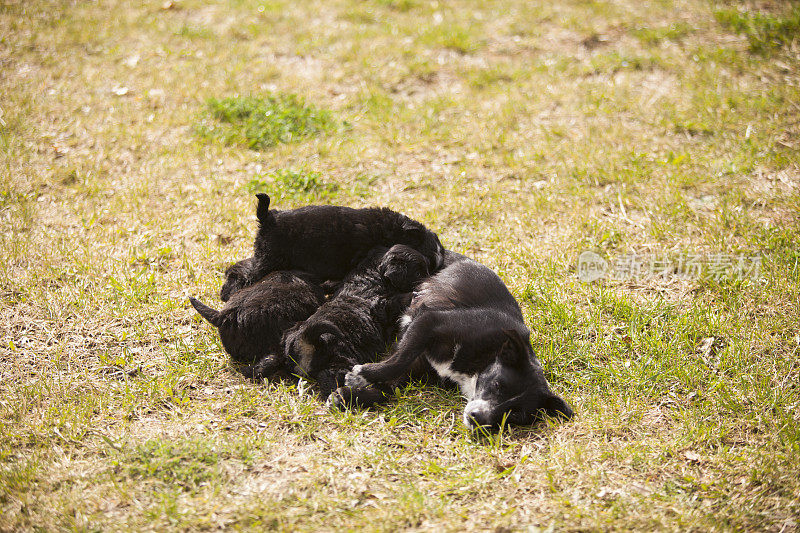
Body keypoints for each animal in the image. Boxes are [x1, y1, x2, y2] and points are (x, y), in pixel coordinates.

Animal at [282, 243, 432, 396]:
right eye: (418, 274)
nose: (429, 281)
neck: (374, 273)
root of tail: (303, 342)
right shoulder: (383, 306)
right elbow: (400, 299)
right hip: (341, 359)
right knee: (329, 379)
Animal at [338, 249, 576, 428]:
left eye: (516, 415)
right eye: (497, 384)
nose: (477, 419)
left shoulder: (420, 361)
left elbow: (390, 386)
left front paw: (352, 395)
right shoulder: (429, 322)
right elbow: (398, 361)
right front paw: (363, 375)